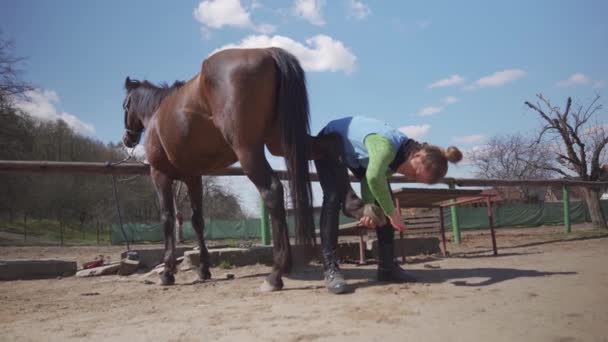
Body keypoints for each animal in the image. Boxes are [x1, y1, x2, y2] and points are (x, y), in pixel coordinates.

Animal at [121, 46, 316, 290]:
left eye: (125, 105)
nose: (127, 139)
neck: (157, 113)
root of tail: (267, 51)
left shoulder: (160, 175)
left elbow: (167, 219)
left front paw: (167, 272)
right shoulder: (193, 177)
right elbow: (197, 220)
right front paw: (204, 269)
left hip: (248, 151)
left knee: (272, 191)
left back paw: (275, 274)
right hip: (284, 144)